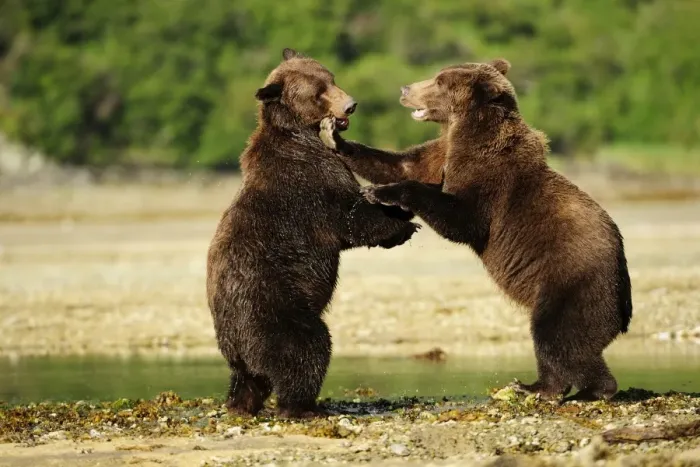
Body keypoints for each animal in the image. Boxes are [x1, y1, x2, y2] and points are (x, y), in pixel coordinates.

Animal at [206, 48, 419, 419]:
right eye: (318, 91)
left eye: (332, 79)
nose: (350, 105)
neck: (301, 134)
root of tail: (232, 338)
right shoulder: (309, 183)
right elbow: (350, 220)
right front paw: (403, 225)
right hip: (274, 311)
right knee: (306, 350)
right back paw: (303, 407)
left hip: (243, 341)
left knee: (249, 378)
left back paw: (241, 404)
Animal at [322, 59, 633, 402]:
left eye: (439, 82)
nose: (405, 89)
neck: (466, 130)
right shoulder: (443, 150)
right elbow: (401, 164)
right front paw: (334, 136)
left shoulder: (490, 178)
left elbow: (463, 219)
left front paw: (380, 193)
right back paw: (534, 386)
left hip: (573, 281)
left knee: (559, 335)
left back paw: (584, 390)